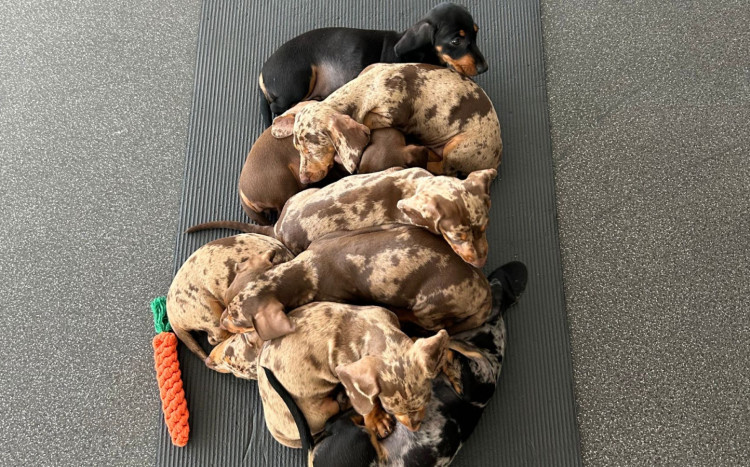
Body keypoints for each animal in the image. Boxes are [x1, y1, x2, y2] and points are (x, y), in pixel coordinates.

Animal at [220, 224, 492, 341]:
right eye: (225, 303)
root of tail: (484, 290)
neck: (304, 269)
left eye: (236, 319)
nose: (221, 322)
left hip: (429, 307)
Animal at [254, 301, 450, 447]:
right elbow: (367, 398)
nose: (414, 429)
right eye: (390, 410)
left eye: (425, 401)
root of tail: (277, 432)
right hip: (322, 411)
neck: (373, 330)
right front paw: (377, 419)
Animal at [259, 3, 487, 123]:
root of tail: (262, 73)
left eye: (476, 33)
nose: (484, 68)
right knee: (278, 106)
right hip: (298, 81)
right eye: (456, 41)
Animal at [271, 63, 502, 181]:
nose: (303, 180)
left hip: (457, 148)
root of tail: (496, 160)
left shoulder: (391, 113)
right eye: (297, 149)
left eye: (313, 150)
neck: (368, 86)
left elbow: (368, 119)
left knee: (445, 168)